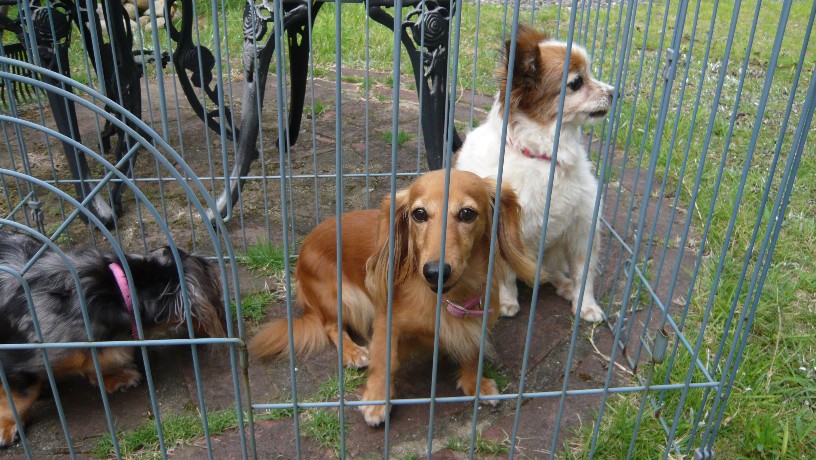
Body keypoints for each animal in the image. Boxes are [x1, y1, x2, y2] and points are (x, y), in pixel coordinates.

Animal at [248, 169, 544, 426]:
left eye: (467, 214)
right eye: (419, 214)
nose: (435, 272)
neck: (445, 297)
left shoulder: (476, 320)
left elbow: (472, 352)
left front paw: (476, 384)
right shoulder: (385, 320)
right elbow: (384, 360)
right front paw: (377, 400)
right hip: (343, 297)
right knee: (331, 325)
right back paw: (353, 351)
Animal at [455, 25, 614, 322]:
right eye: (577, 82)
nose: (614, 92)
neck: (544, 158)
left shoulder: (582, 229)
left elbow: (584, 275)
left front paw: (586, 305)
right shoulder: (504, 232)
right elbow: (506, 275)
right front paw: (507, 302)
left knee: (550, 271)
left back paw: (563, 284)